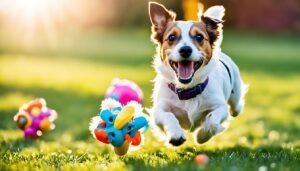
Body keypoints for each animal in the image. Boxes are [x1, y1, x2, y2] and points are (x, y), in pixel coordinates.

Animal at [149, 1, 247, 146]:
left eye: (199, 37)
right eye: (172, 37)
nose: (185, 50)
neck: (187, 90)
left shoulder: (220, 107)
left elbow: (212, 121)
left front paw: (202, 136)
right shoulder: (159, 110)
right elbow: (168, 116)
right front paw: (176, 134)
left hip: (235, 95)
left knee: (235, 108)